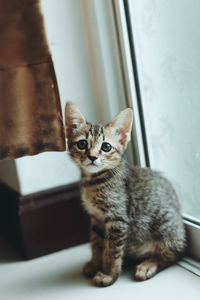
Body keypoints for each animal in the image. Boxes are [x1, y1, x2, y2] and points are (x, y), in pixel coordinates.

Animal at [65, 102, 186, 288]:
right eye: (82, 144)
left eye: (106, 146)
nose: (92, 157)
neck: (94, 181)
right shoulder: (96, 219)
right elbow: (96, 244)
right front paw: (95, 263)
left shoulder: (118, 219)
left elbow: (112, 251)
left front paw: (109, 274)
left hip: (165, 224)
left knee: (174, 253)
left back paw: (148, 265)